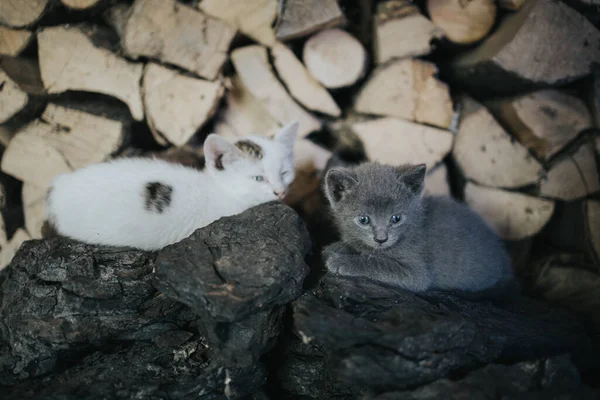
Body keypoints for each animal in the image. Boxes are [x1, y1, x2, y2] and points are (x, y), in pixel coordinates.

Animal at [322, 161, 512, 292]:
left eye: (396, 218)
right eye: (364, 220)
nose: (381, 239)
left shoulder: (416, 272)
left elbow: (377, 263)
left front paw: (343, 261)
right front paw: (337, 247)